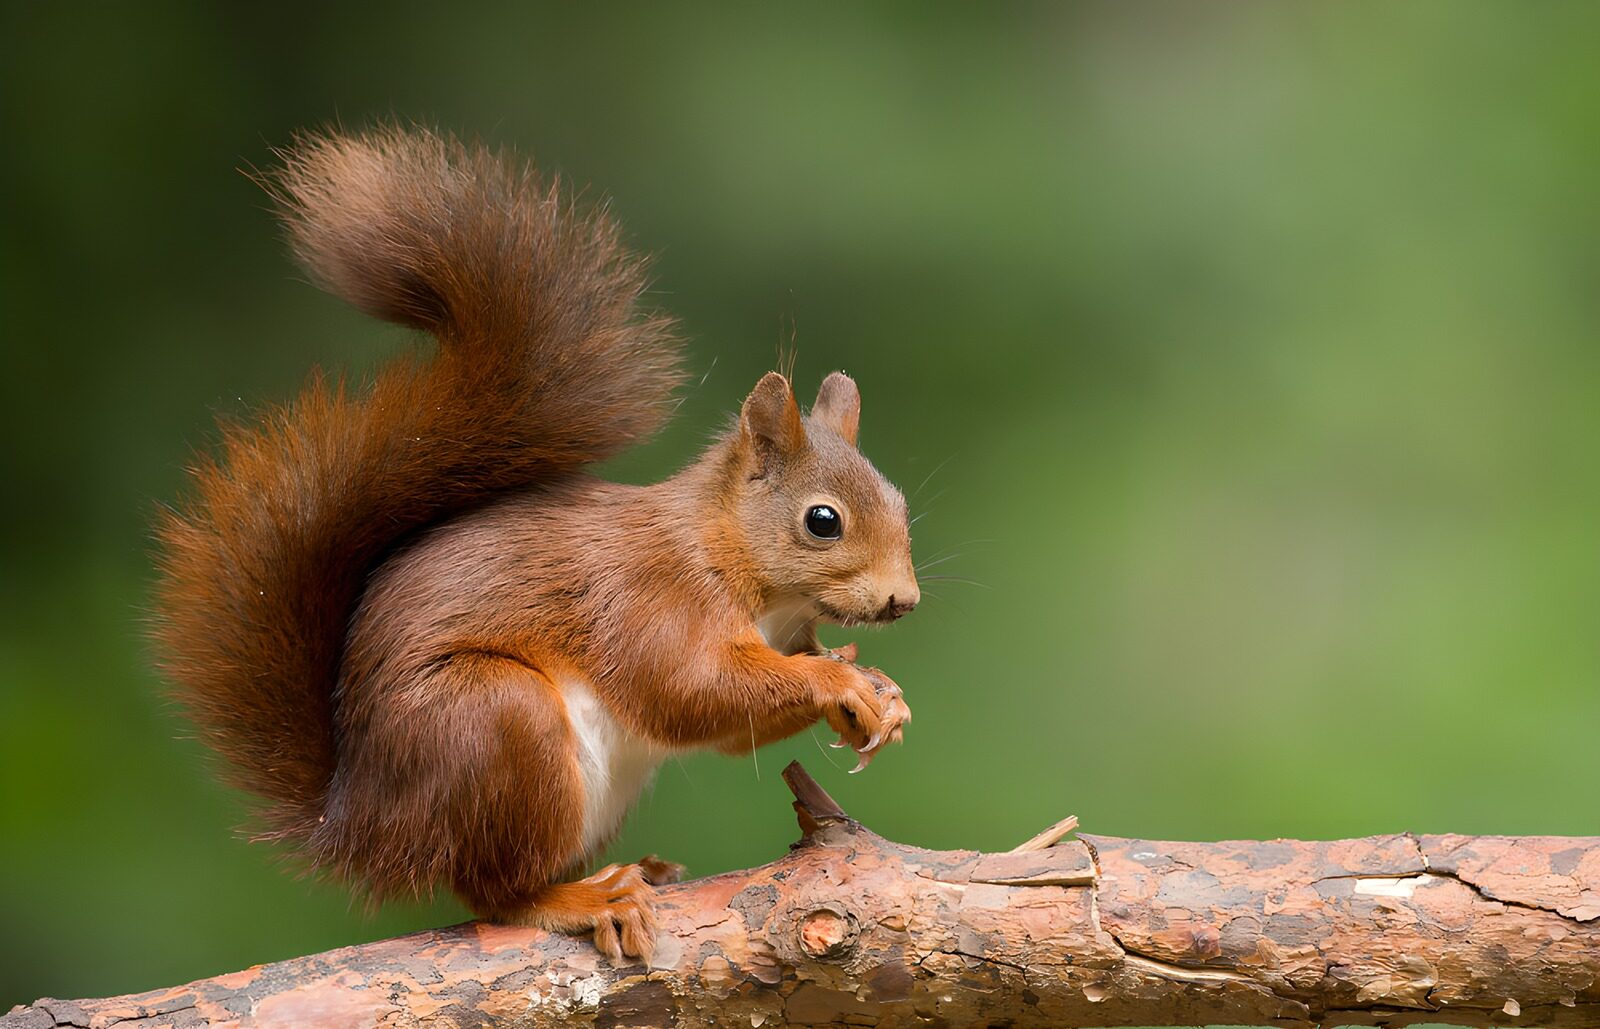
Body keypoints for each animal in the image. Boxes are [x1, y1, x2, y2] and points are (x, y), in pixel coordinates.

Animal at [152, 126, 918, 963]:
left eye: (901, 501)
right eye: (823, 520)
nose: (903, 600)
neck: (734, 557)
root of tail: (361, 824)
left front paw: (882, 694)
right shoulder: (653, 596)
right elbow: (689, 689)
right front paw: (838, 683)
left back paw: (641, 867)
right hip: (497, 722)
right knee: (496, 892)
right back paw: (586, 896)